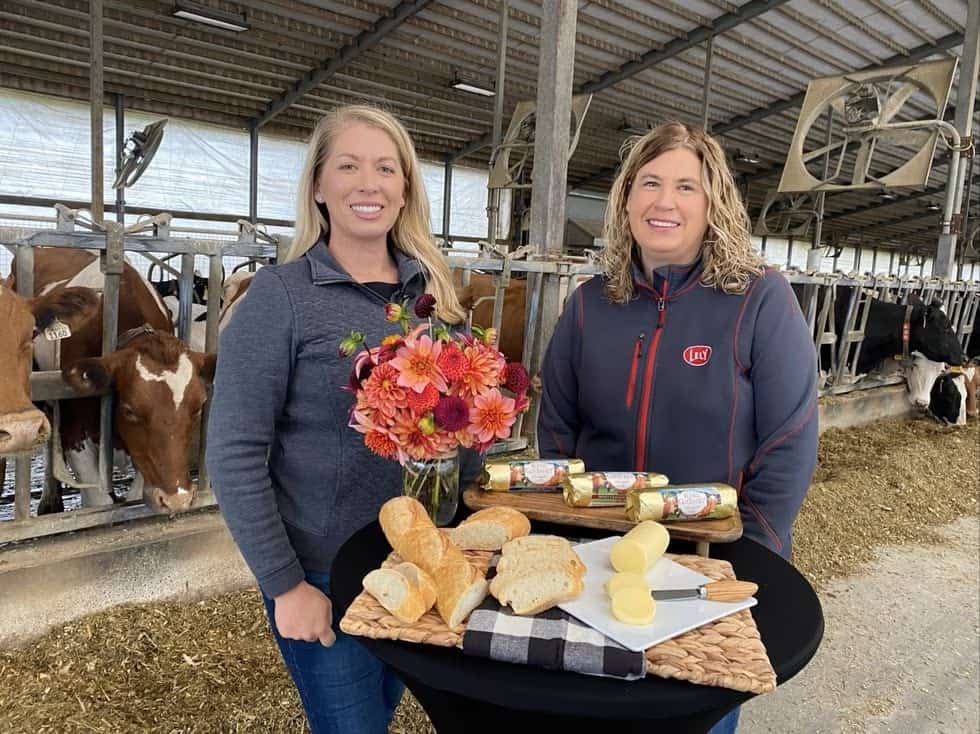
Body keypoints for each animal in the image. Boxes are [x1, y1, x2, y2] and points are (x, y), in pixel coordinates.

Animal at [11, 250, 216, 516]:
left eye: (198, 407)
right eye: (129, 411)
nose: (177, 498)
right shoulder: (75, 431)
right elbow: (98, 501)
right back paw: (49, 500)